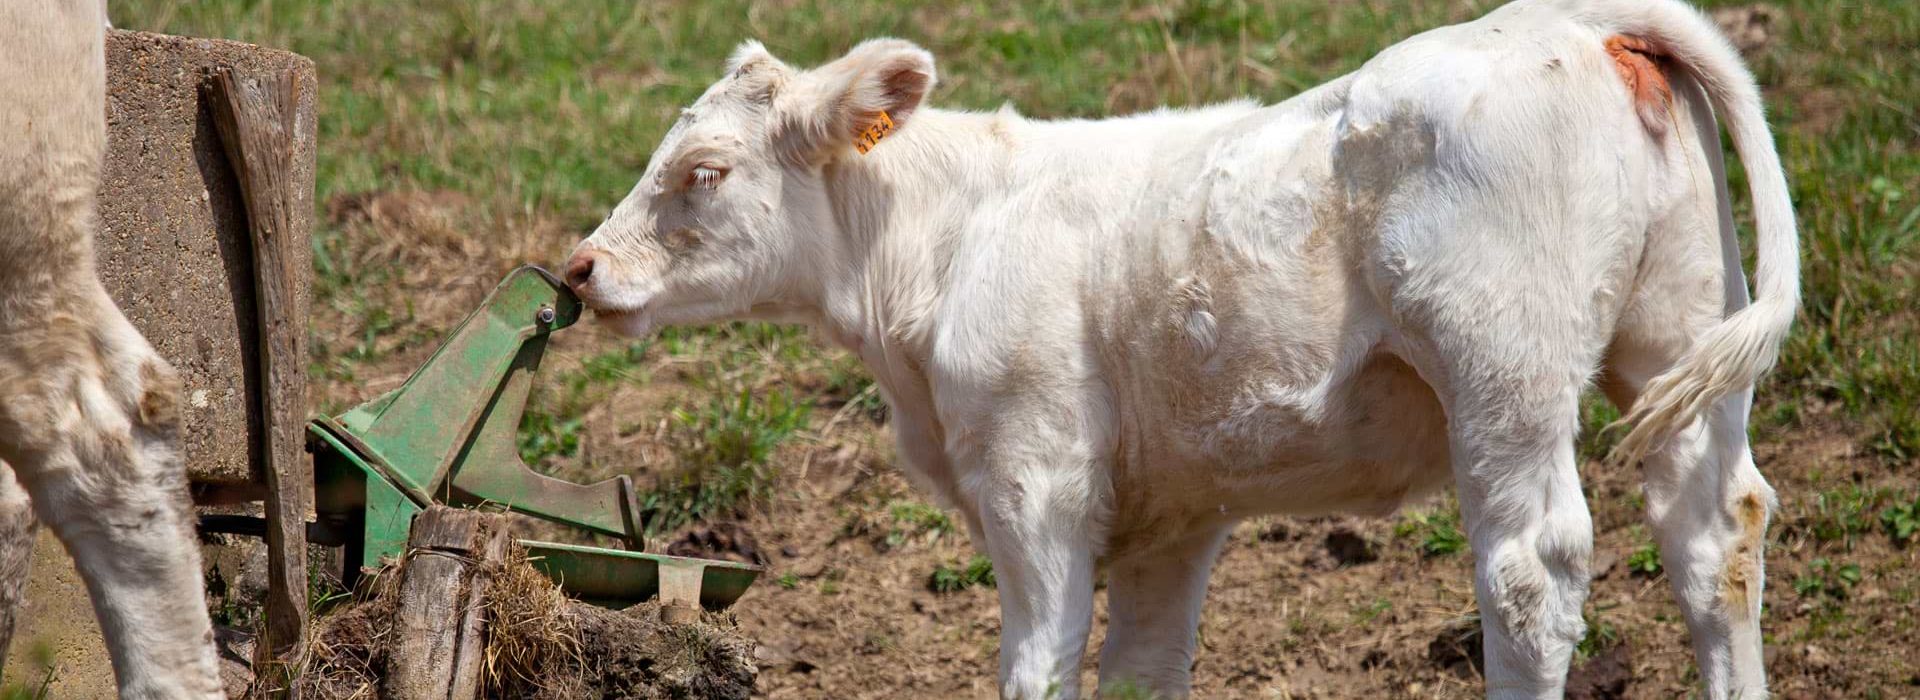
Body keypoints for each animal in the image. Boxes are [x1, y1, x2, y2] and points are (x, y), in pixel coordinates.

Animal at [564, 0, 1797, 694]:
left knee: (1530, 578)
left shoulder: (1035, 478)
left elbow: (1038, 660)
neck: (951, 236)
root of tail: (1580, 21)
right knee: (1715, 537)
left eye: (704, 171)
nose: (578, 268)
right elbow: (1141, 669)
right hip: (1678, 338)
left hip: (1505, 375)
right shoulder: (1171, 513)